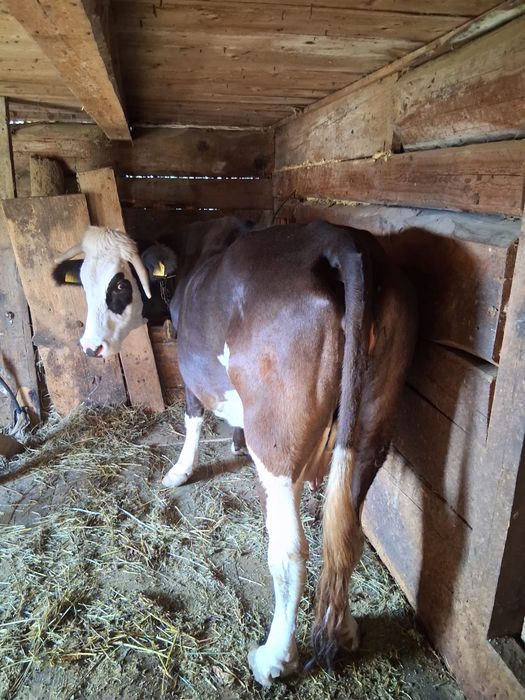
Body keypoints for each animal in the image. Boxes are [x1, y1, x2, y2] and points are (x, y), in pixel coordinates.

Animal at [53, 217, 417, 687]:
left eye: (119, 284)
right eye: (82, 281)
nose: (90, 346)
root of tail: (340, 240)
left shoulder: (189, 362)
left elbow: (192, 416)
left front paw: (180, 471)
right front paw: (235, 443)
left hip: (277, 441)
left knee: (290, 550)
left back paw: (274, 659)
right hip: (373, 428)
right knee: (346, 532)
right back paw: (346, 629)